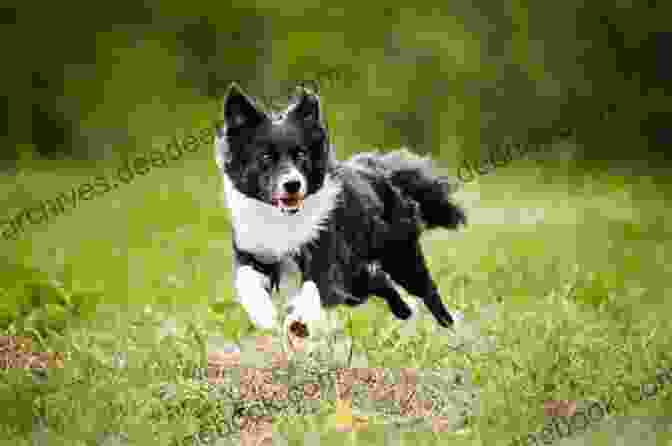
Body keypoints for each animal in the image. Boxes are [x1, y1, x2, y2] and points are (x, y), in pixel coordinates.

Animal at [215, 83, 468, 342]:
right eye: (266, 157)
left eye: (301, 155)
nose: (292, 184)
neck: (284, 218)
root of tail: (378, 170)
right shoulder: (253, 251)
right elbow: (247, 282)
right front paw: (264, 315)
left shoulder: (326, 252)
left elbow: (315, 287)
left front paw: (299, 321)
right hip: (359, 278)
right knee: (378, 281)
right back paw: (404, 311)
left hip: (400, 256)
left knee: (426, 289)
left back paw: (451, 329)